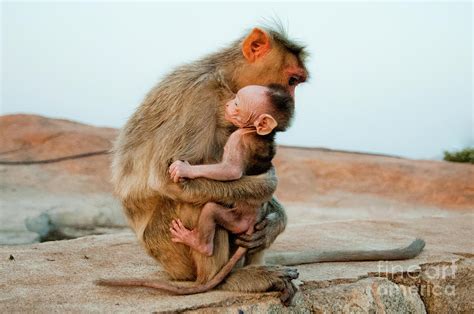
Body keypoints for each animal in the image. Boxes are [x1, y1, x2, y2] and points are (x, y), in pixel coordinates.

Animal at [168, 82, 294, 258]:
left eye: (237, 103)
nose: (228, 104)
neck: (253, 131)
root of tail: (252, 222)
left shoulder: (238, 138)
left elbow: (231, 170)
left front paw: (184, 169)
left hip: (237, 221)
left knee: (211, 210)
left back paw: (200, 244)